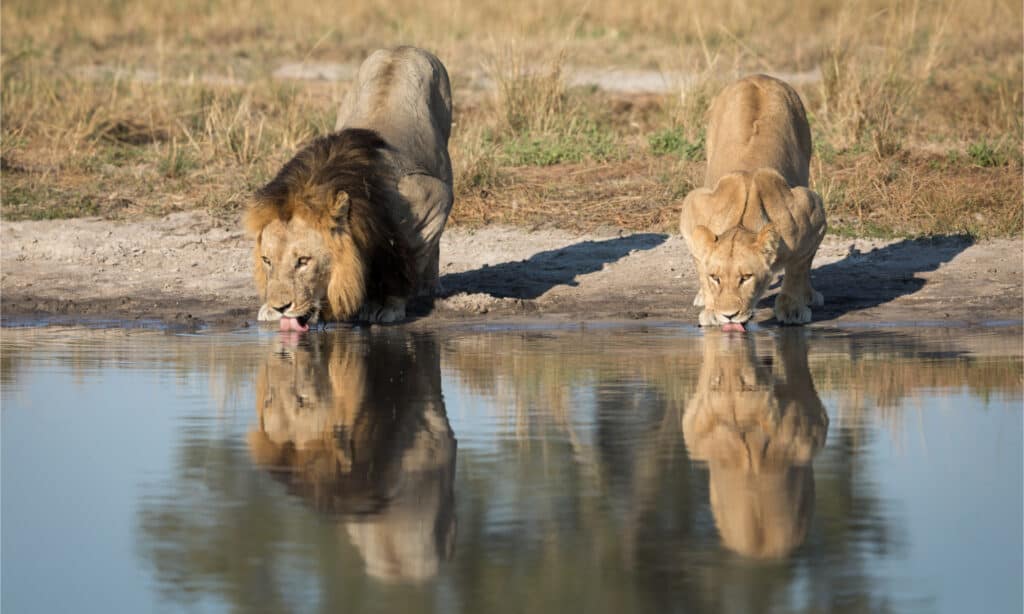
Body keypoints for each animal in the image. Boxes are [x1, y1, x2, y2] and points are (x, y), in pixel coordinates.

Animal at [243, 46, 452, 331]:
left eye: (303, 261)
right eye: (267, 261)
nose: (280, 307)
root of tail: (403, 48)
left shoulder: (432, 198)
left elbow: (406, 258)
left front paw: (387, 305)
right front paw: (267, 309)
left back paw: (430, 287)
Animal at [679, 74, 823, 329]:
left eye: (745, 278)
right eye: (716, 278)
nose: (728, 315)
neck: (742, 223)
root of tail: (758, 76)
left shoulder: (813, 212)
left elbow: (798, 267)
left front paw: (793, 308)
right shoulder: (692, 209)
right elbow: (700, 262)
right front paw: (710, 308)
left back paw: (809, 296)